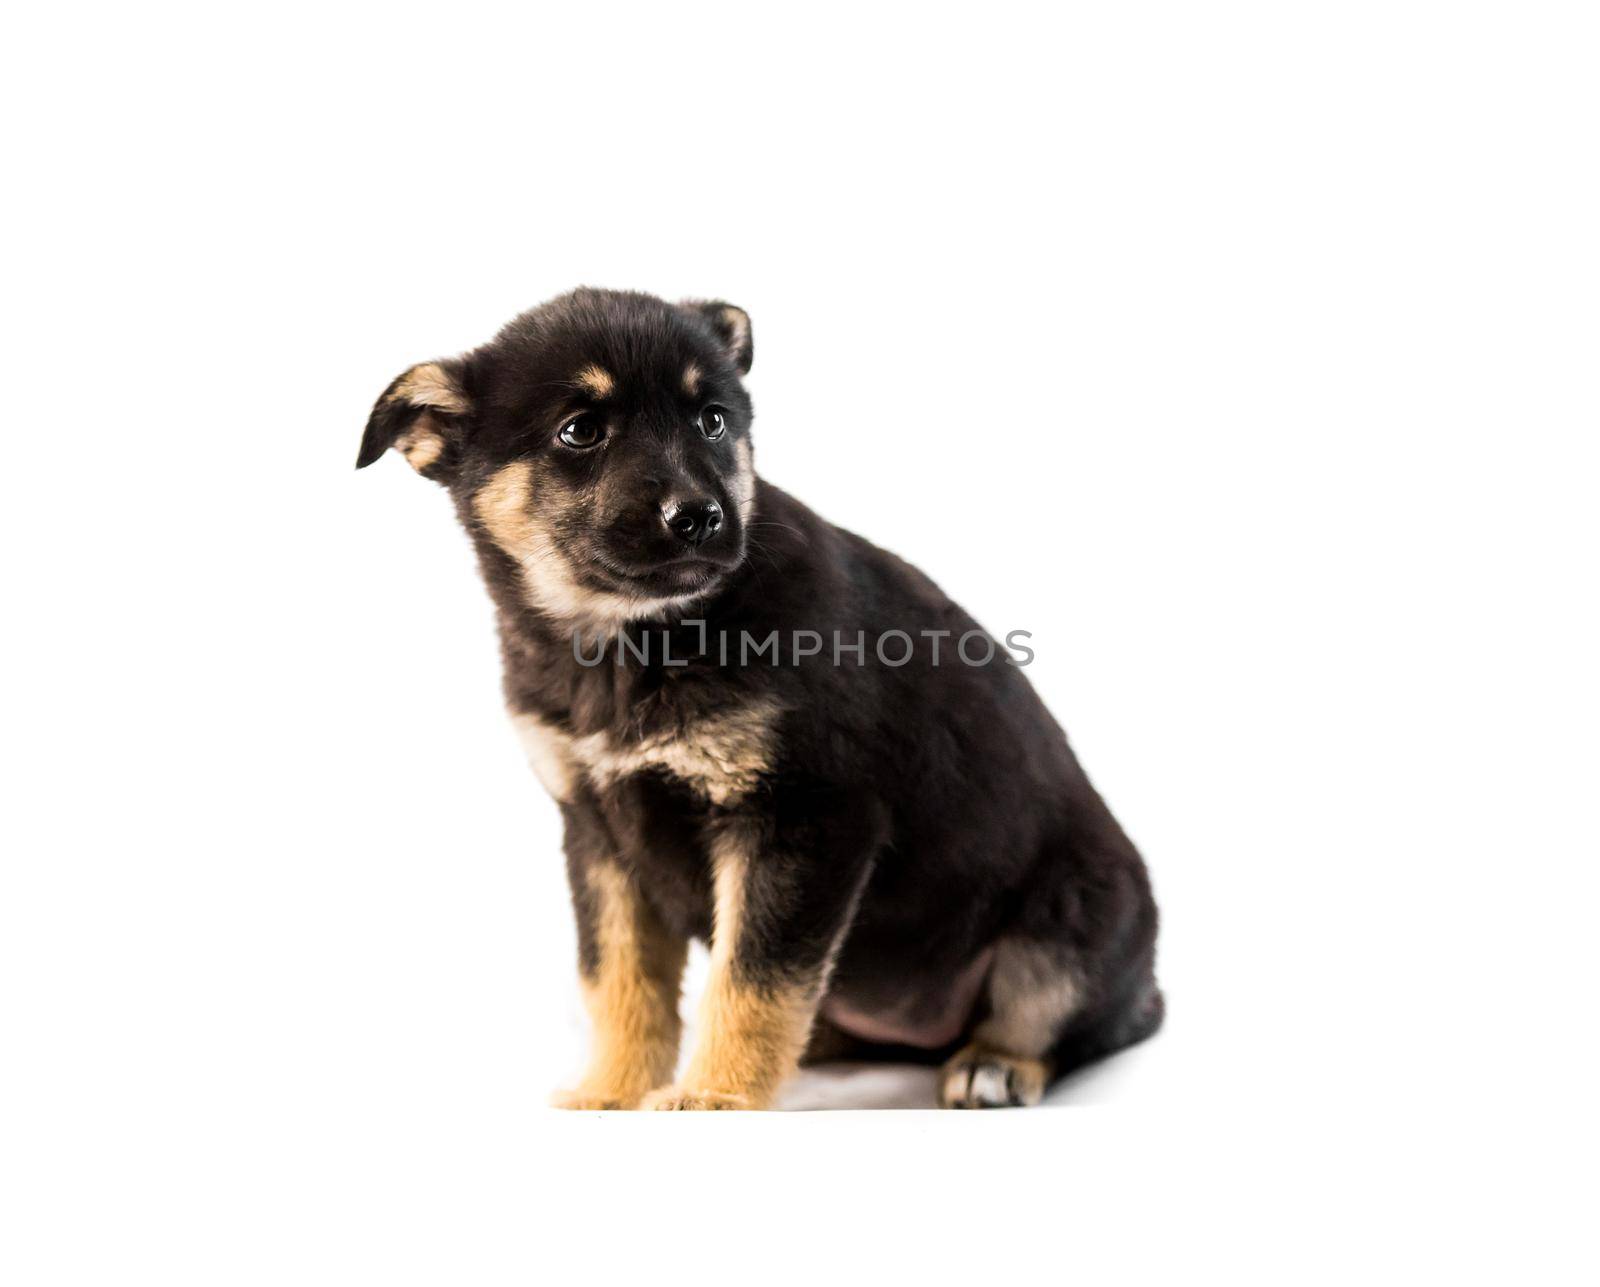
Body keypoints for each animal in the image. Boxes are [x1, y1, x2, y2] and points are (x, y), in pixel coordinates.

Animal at [360, 289, 1164, 1107]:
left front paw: (715, 1095)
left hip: (1076, 915)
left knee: (1082, 1017)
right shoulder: (598, 835)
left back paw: (994, 1063)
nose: (700, 517)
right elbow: (620, 977)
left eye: (712, 420)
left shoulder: (801, 817)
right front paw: (613, 1090)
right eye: (580, 430)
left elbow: (753, 977)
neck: (639, 641)